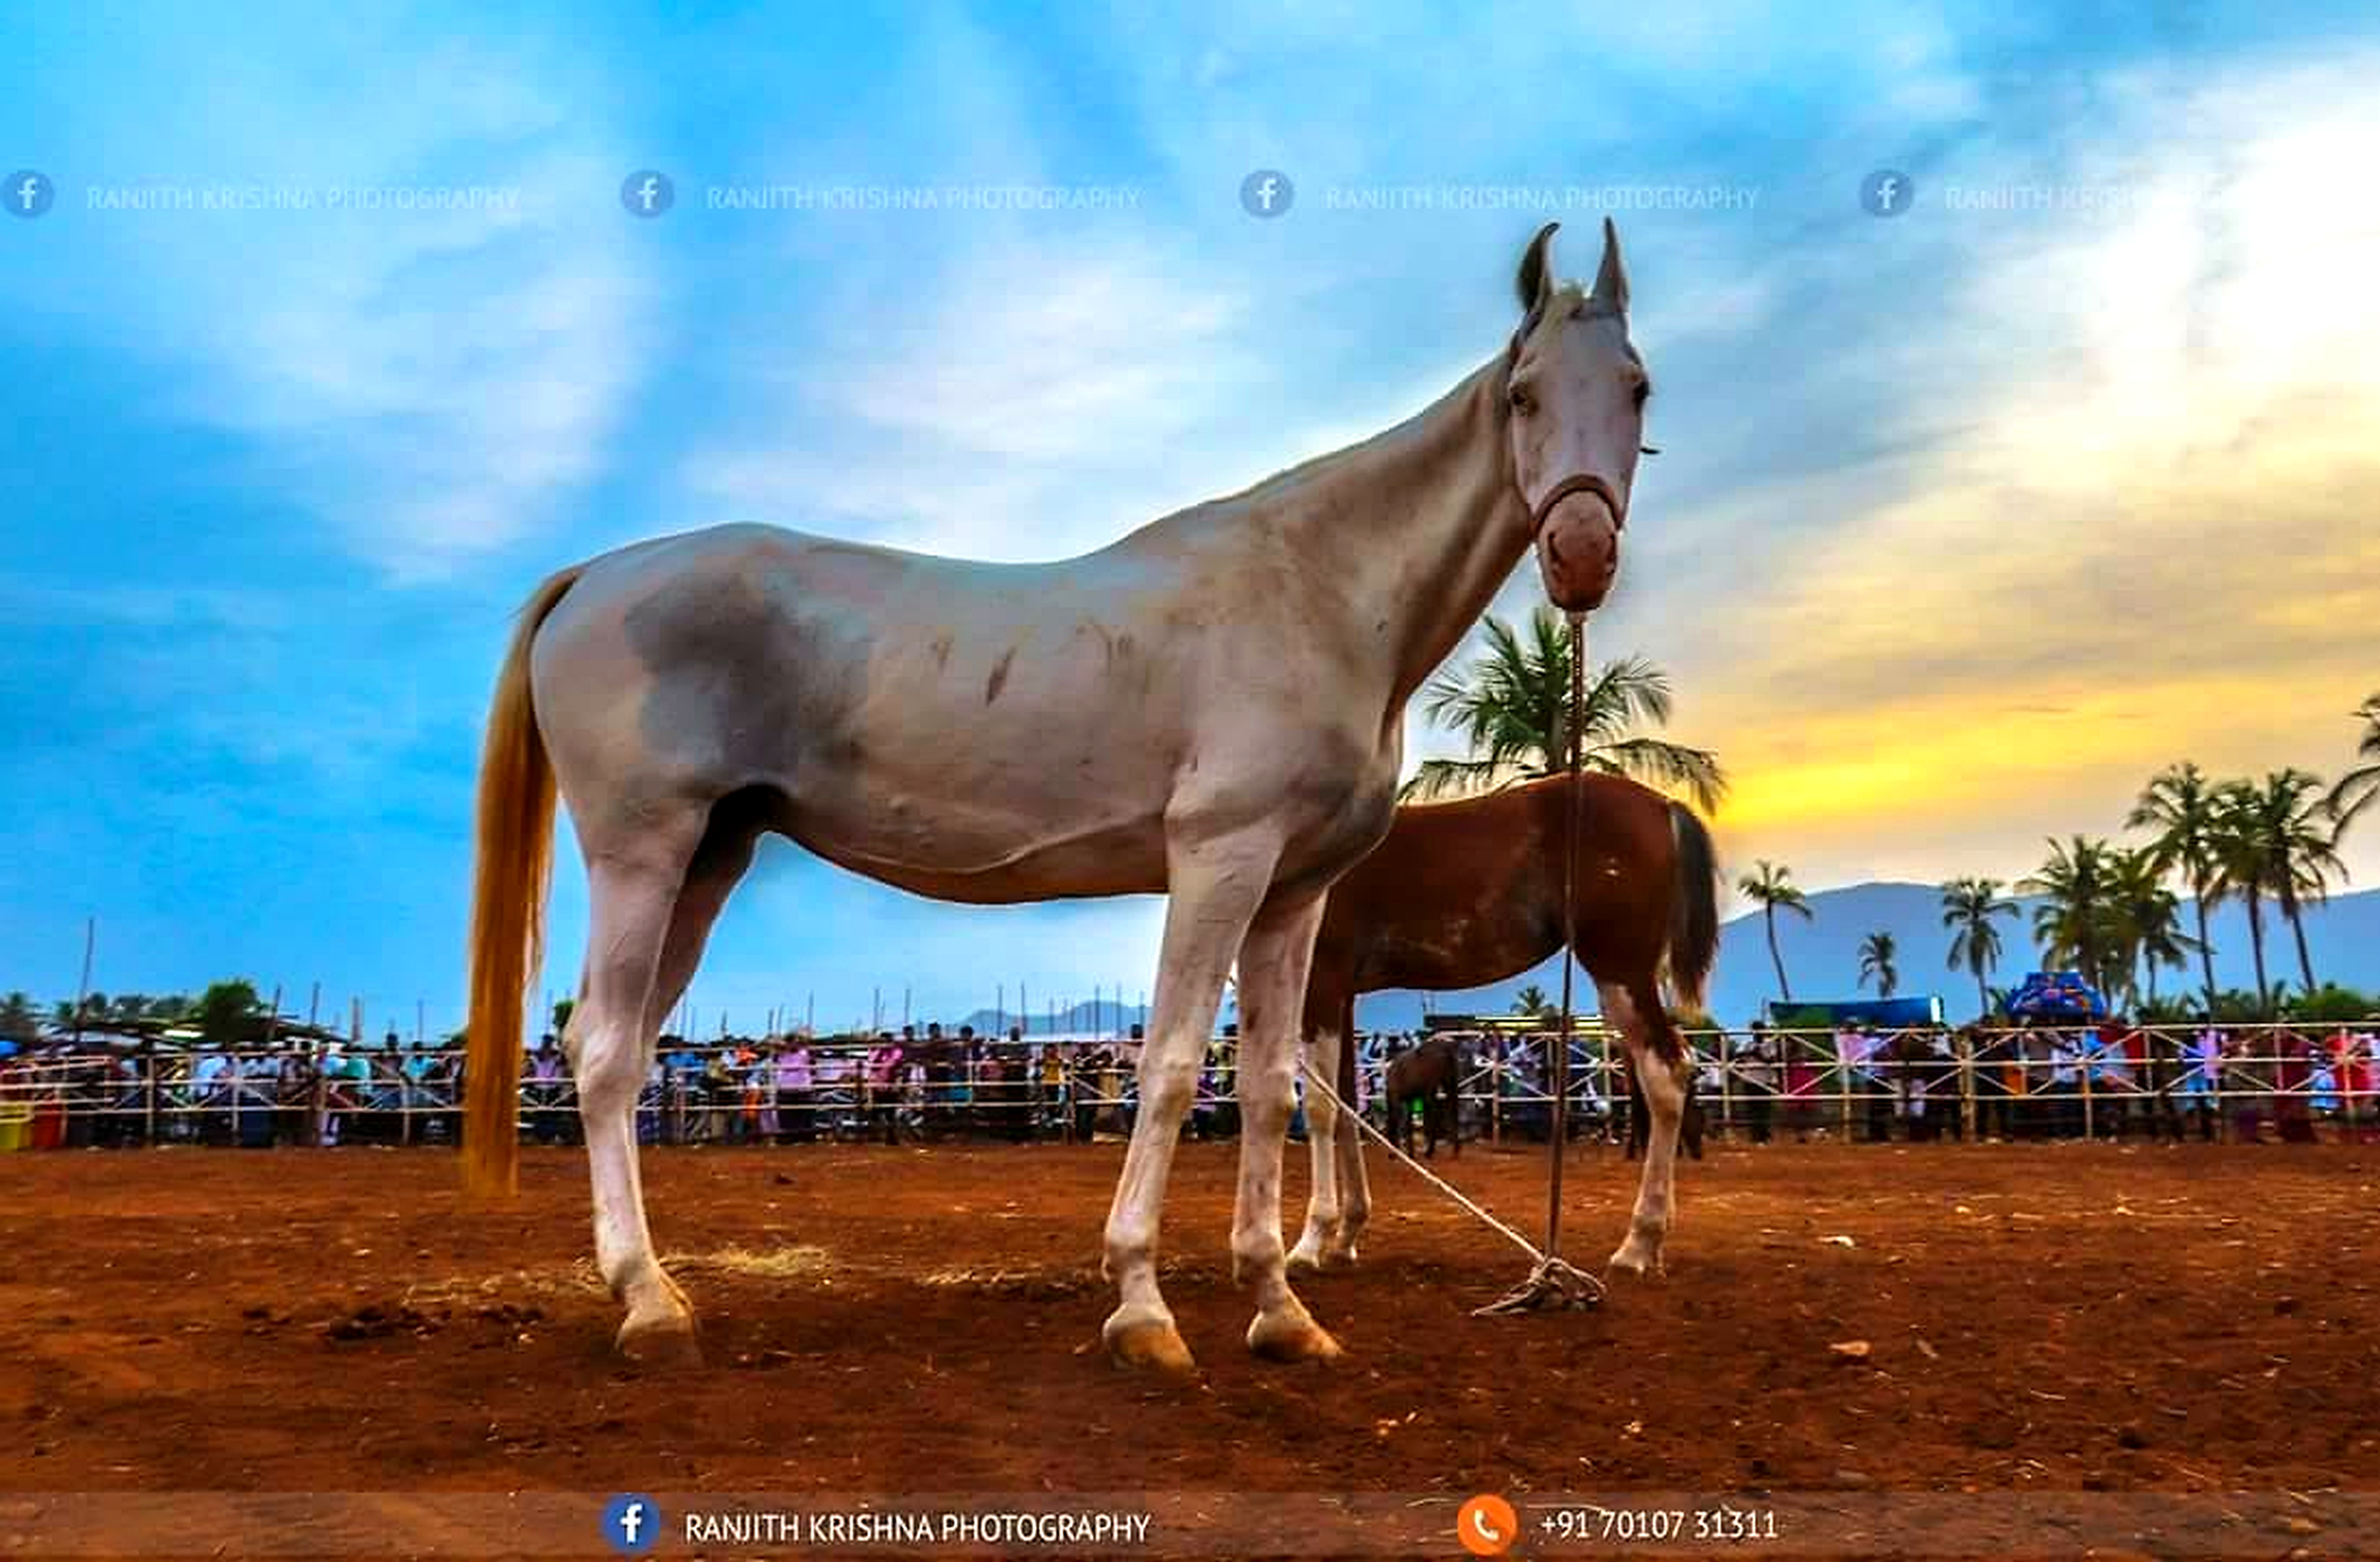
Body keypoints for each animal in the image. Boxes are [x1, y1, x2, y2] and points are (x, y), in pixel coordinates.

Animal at [1383, 1035, 1464, 1158]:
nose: (1391, 1154)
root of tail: (1446, 1048)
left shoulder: (1397, 1100)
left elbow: (1400, 1123)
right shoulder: (1409, 1100)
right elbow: (1408, 1125)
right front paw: (1410, 1153)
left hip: (1430, 1091)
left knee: (1436, 1115)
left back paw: (1430, 1151)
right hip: (1450, 1084)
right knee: (1453, 1111)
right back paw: (1455, 1149)